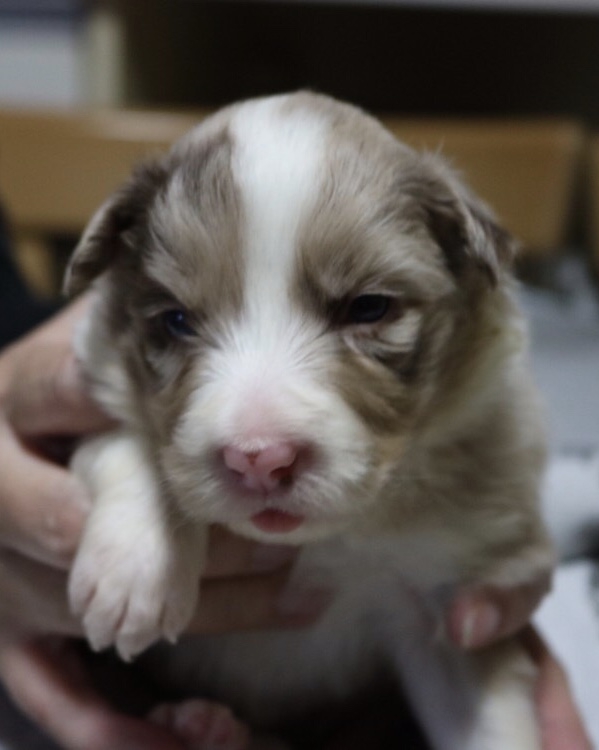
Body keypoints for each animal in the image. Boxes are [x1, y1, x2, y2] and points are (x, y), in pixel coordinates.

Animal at [65, 92, 554, 750]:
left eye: (368, 308)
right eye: (175, 320)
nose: (259, 458)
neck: (326, 544)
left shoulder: (451, 596)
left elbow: (487, 719)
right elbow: (122, 441)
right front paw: (137, 568)